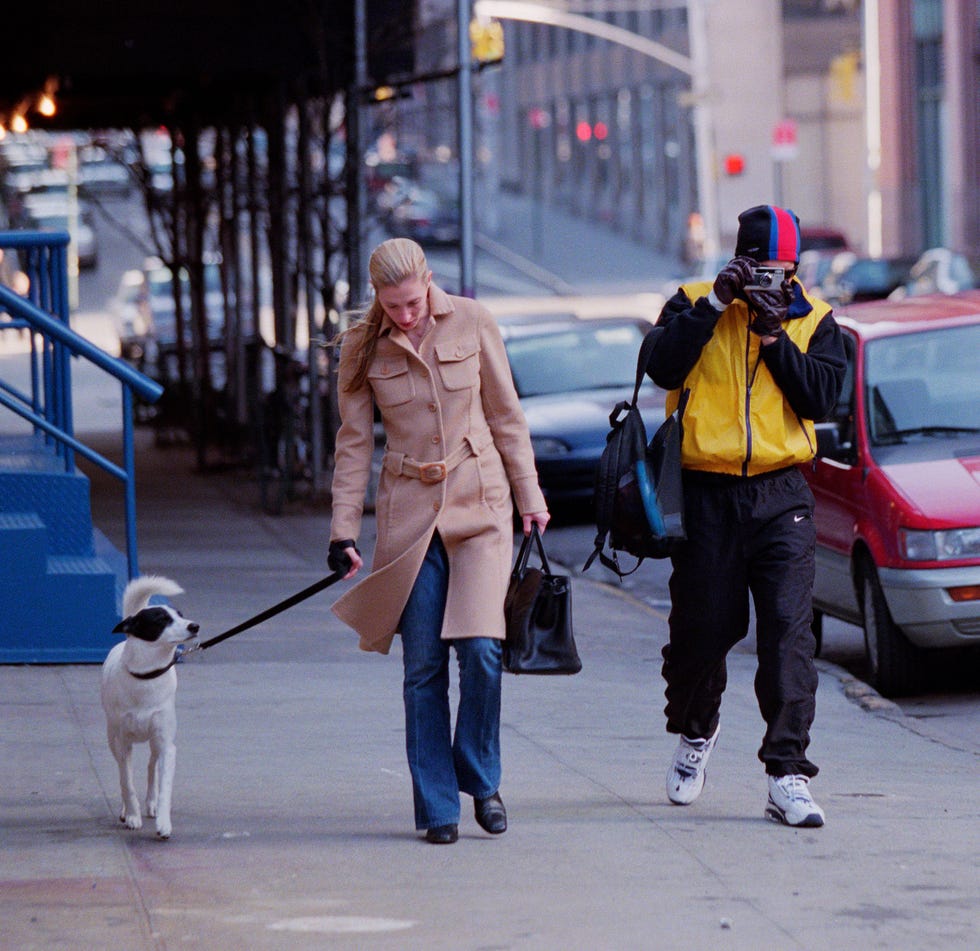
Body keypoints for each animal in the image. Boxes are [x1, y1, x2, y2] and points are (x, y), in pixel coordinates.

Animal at [99, 576, 199, 836]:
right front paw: (133, 815)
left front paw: (163, 821)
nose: (195, 626)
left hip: (155, 743)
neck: (146, 676)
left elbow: (164, 786)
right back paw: (126, 810)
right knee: (124, 772)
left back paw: (151, 803)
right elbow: (126, 782)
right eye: (161, 619)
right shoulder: (122, 743)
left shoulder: (166, 745)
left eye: (180, 615)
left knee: (151, 767)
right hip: (112, 738)